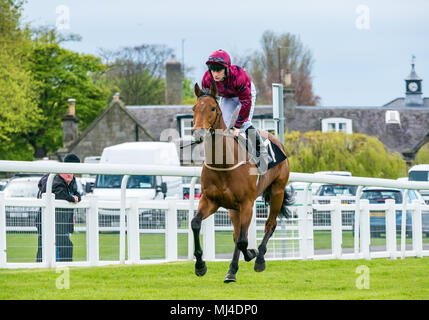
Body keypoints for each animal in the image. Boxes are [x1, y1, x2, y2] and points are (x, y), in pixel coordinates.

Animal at [191, 82, 294, 282]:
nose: (199, 133)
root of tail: (277, 141)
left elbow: (243, 241)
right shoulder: (210, 201)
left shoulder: (247, 203)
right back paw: (231, 271)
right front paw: (200, 265)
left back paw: (259, 258)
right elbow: (195, 224)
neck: (223, 164)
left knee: (270, 224)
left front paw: (252, 254)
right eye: (194, 108)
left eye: (213, 108)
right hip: (233, 208)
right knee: (236, 233)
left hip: (277, 191)